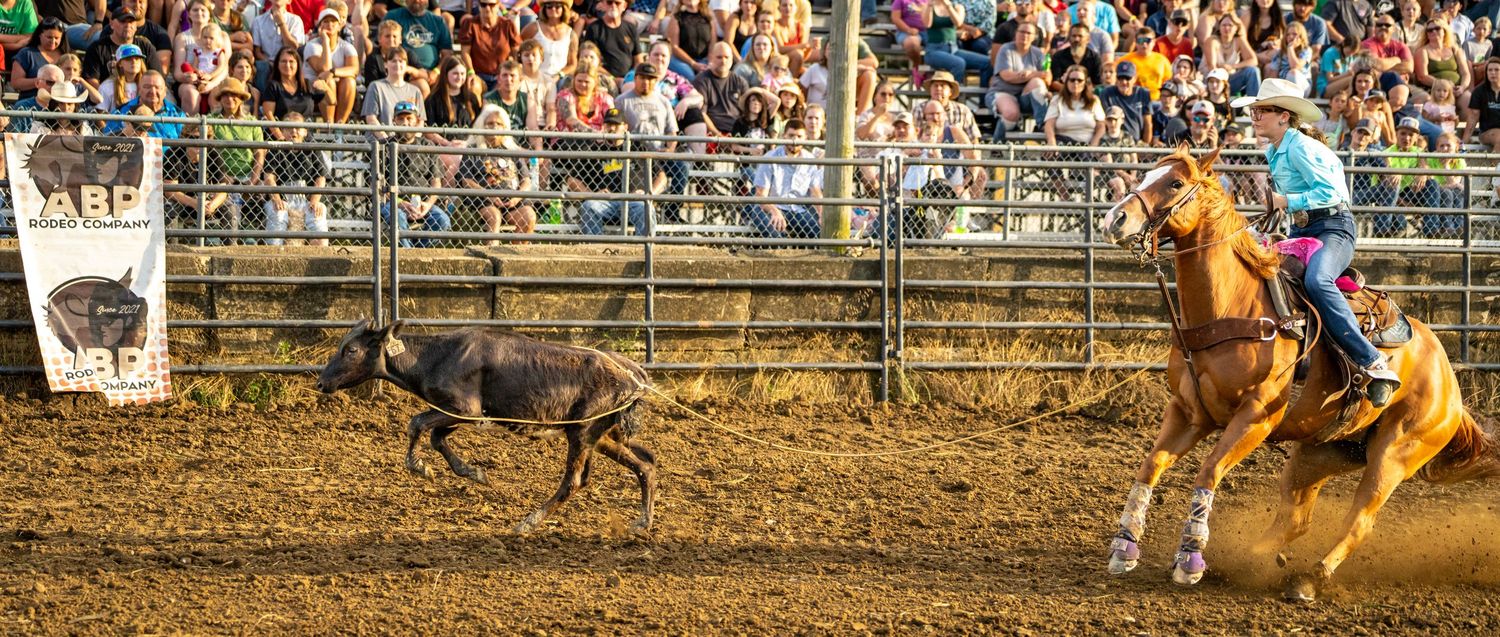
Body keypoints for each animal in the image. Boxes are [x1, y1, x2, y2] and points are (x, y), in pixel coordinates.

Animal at [1098, 147, 1499, 601]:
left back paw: (1310, 579)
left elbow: (1209, 471)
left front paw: (1190, 558)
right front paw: (1124, 549)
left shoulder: (1256, 418)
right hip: (1319, 452)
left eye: (1176, 183)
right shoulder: (1188, 412)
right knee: (1296, 518)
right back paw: (1251, 559)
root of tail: (1450, 383)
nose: (1114, 219)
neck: (1231, 305)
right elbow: (1150, 466)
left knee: (1359, 521)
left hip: (1396, 453)